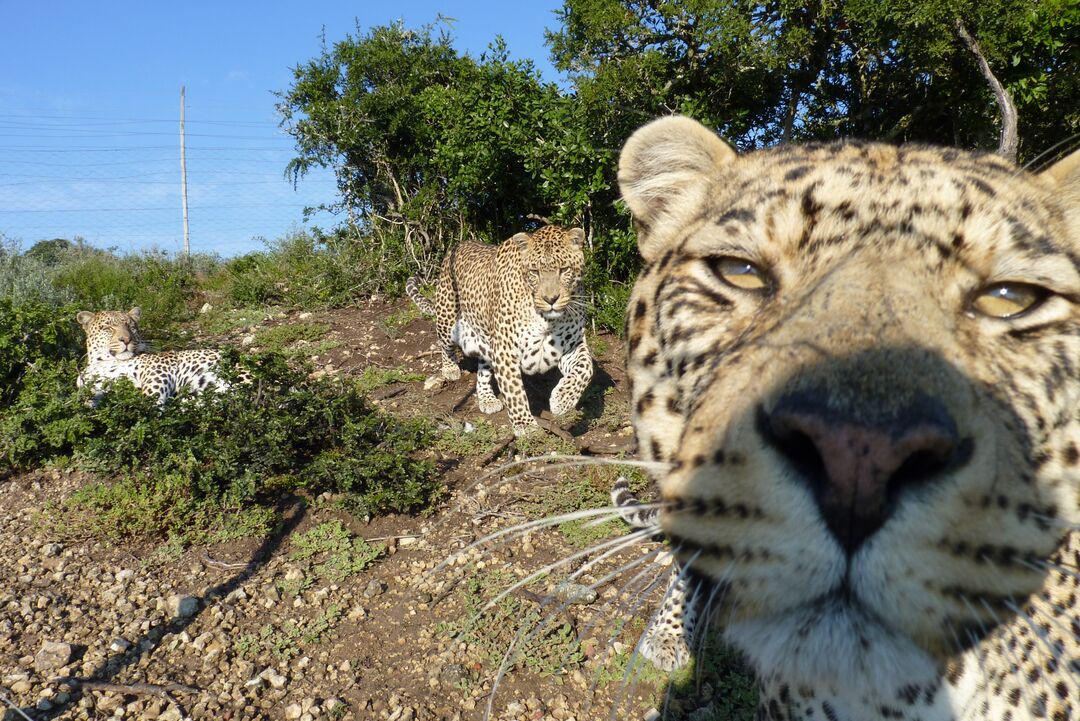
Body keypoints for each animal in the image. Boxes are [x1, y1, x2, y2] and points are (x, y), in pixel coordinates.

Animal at [77, 306, 235, 403]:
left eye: (131, 326)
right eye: (108, 328)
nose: (126, 340)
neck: (103, 362)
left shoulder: (160, 368)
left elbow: (151, 395)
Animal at [406, 225, 596, 433]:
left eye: (564, 270)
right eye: (535, 272)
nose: (551, 299)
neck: (546, 320)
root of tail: (457, 246)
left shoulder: (572, 345)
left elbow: (586, 368)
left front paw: (562, 400)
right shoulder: (505, 350)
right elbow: (514, 391)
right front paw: (525, 425)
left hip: (487, 343)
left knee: (483, 371)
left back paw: (487, 399)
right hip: (447, 318)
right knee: (443, 343)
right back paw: (450, 369)